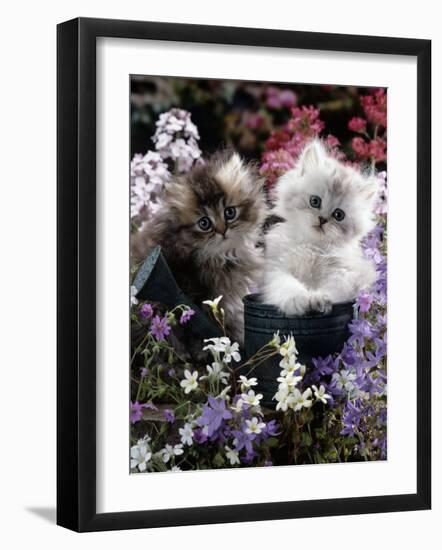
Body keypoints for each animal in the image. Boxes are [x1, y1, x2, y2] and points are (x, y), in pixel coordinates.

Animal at [260, 140, 378, 316]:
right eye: (315, 201)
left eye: (338, 215)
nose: (322, 220)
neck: (312, 246)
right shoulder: (277, 269)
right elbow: (288, 286)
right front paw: (300, 300)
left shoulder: (344, 275)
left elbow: (332, 290)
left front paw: (318, 298)